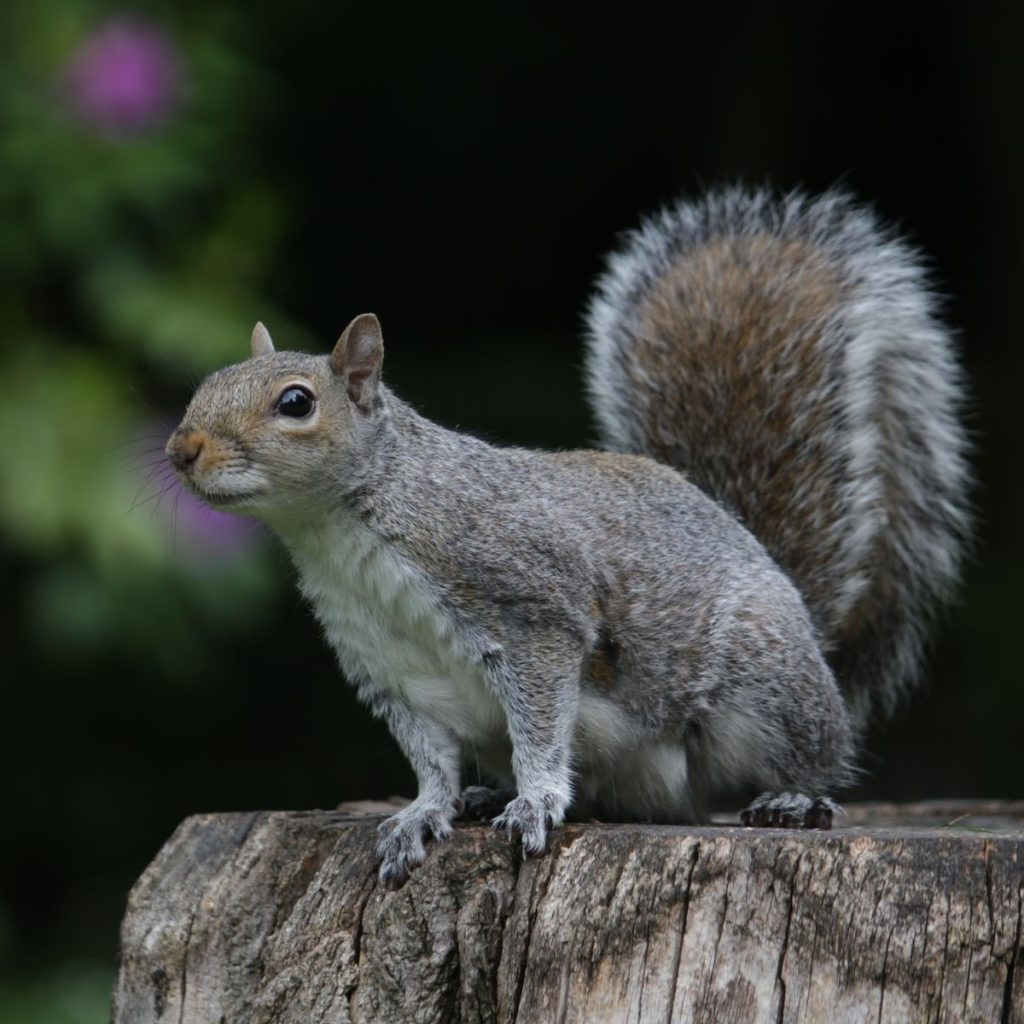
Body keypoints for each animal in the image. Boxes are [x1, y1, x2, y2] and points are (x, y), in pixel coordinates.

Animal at [166, 187, 969, 888]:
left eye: (296, 403)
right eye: (207, 381)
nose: (182, 449)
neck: (340, 532)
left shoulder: (533, 613)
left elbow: (542, 724)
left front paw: (536, 799)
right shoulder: (390, 669)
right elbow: (431, 761)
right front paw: (424, 813)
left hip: (764, 683)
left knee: (811, 755)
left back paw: (794, 798)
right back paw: (485, 796)